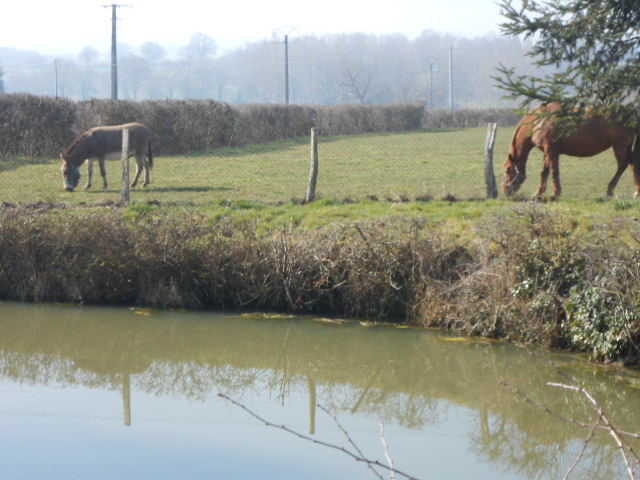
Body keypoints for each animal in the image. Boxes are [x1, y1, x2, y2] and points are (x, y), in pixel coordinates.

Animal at [502, 101, 636, 199]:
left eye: (508, 170)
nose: (505, 192)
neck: (539, 121)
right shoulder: (547, 151)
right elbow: (544, 172)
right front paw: (539, 192)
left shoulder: (551, 150)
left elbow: (554, 171)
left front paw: (555, 193)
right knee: (632, 164)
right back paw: (636, 191)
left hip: (620, 147)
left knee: (623, 165)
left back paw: (610, 191)